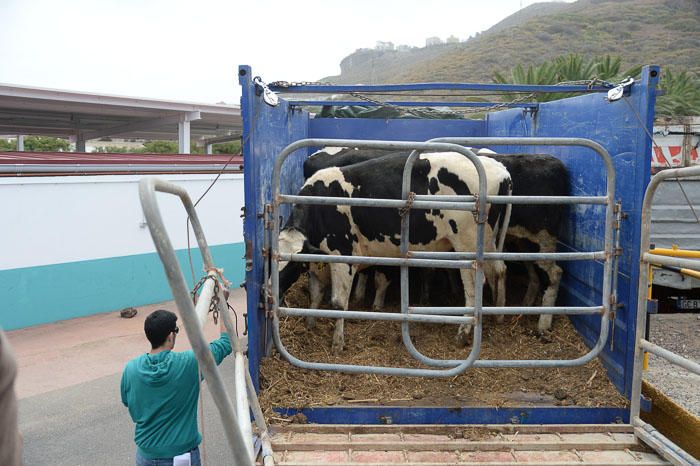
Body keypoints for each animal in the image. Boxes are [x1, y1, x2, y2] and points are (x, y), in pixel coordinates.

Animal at [276, 152, 512, 354]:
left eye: (291, 265)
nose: (273, 293)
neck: (321, 206)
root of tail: (500, 169)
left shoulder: (343, 256)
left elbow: (338, 303)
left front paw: (337, 343)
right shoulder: (317, 261)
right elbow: (315, 295)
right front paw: (310, 324)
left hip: (467, 247)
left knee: (473, 287)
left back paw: (463, 333)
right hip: (490, 242)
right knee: (499, 270)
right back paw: (498, 315)